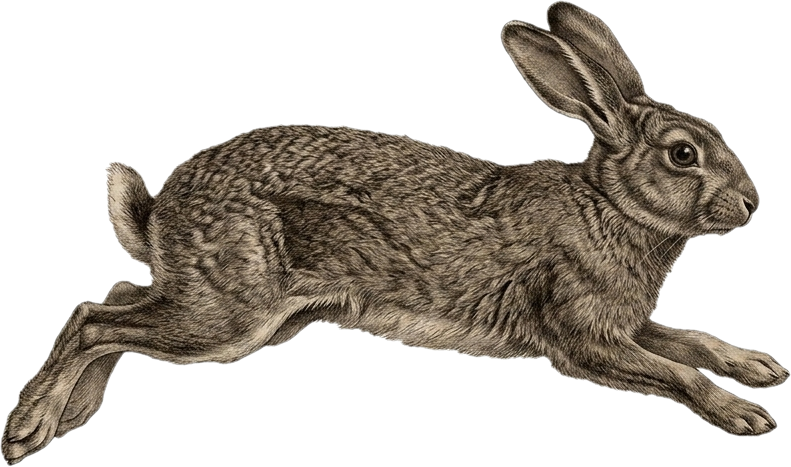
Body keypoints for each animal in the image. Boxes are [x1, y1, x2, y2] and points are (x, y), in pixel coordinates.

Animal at [2, 1, 787, 463]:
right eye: (682, 154)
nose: (751, 205)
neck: (611, 205)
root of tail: (159, 211)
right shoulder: (582, 337)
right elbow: (677, 370)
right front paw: (745, 414)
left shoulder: (625, 322)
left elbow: (692, 343)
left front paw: (759, 369)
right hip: (228, 315)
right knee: (94, 317)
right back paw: (28, 430)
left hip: (251, 319)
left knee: (116, 295)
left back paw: (70, 414)